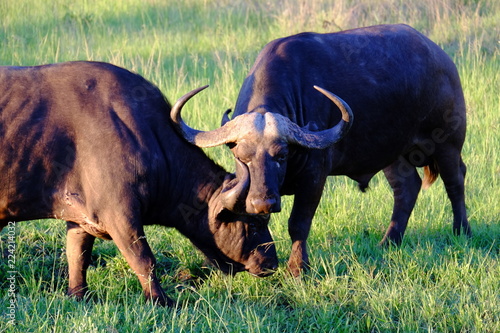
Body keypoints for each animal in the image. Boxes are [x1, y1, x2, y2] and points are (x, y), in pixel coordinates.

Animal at [0, 61, 278, 304]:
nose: (271, 264)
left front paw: (79, 295)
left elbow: (78, 257)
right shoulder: (120, 216)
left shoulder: (79, 220)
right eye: (254, 223)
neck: (145, 134)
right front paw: (160, 300)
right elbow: (144, 259)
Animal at [170, 24, 470, 274]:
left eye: (281, 154)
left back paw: (462, 231)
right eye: (241, 156)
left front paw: (297, 269)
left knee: (455, 182)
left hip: (448, 143)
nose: (263, 202)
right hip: (392, 154)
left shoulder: (314, 178)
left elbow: (298, 223)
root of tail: (443, 59)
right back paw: (389, 241)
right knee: (406, 188)